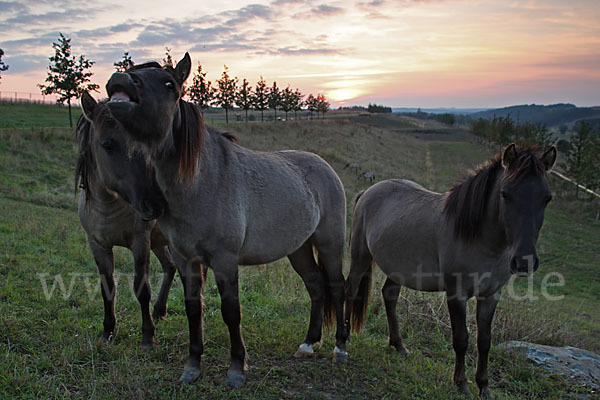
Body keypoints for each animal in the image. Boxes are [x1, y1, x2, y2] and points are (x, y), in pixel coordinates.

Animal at [75, 93, 178, 346]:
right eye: (108, 144)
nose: (154, 204)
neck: (108, 206)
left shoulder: (140, 242)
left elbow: (141, 288)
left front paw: (148, 335)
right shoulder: (98, 245)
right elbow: (107, 287)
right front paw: (108, 330)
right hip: (158, 241)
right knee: (170, 266)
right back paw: (160, 310)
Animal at [97, 53, 346, 388]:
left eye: (169, 84)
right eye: (134, 70)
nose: (120, 80)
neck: (201, 182)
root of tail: (324, 167)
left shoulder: (225, 261)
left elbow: (231, 312)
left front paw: (237, 368)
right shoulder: (187, 259)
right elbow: (194, 310)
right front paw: (192, 366)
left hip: (329, 243)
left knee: (337, 286)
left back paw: (339, 348)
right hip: (299, 248)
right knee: (316, 286)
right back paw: (308, 344)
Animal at [346, 144, 556, 396]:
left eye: (547, 198)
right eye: (505, 193)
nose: (525, 261)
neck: (478, 237)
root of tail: (369, 191)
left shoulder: (491, 295)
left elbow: (484, 340)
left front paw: (484, 386)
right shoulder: (457, 294)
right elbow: (461, 338)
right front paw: (461, 384)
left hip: (398, 269)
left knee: (389, 296)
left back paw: (398, 345)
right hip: (360, 256)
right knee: (351, 289)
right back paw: (344, 338)